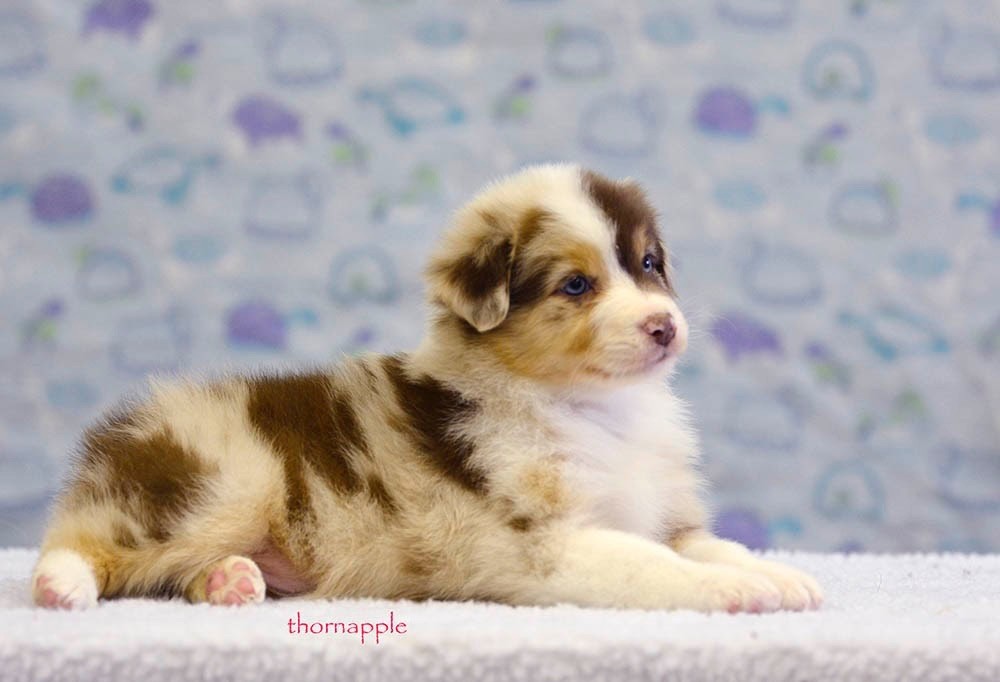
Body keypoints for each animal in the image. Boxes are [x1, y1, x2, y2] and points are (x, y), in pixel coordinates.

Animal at [32, 164, 822, 612]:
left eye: (649, 263)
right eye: (576, 284)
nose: (665, 327)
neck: (594, 408)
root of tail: (118, 436)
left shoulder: (666, 514)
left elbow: (710, 545)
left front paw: (781, 578)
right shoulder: (547, 543)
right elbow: (655, 565)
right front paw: (739, 592)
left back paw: (231, 582)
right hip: (221, 483)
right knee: (82, 537)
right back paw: (61, 585)